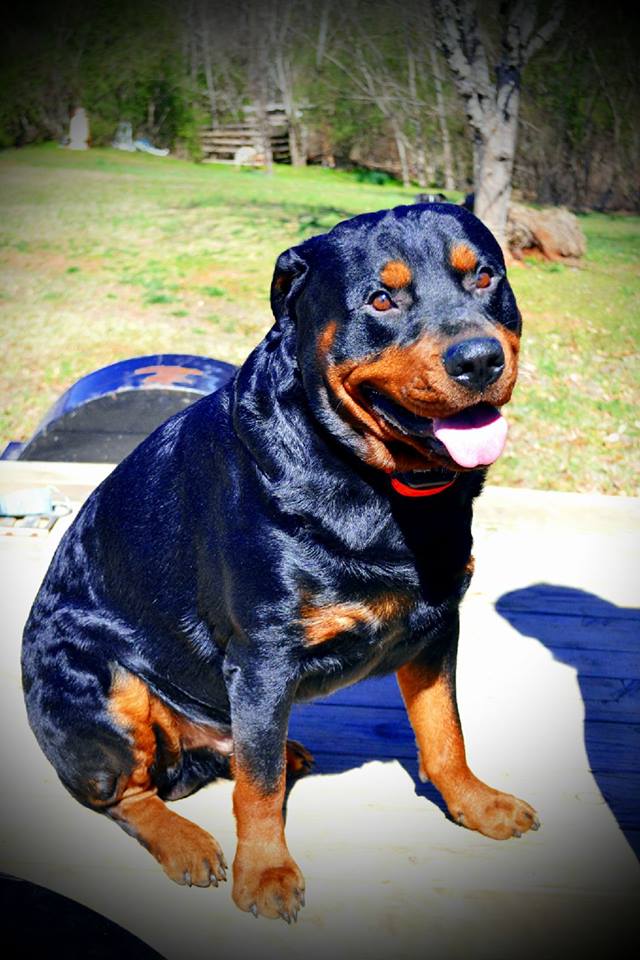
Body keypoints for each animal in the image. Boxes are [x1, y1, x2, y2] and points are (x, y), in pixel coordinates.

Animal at [22, 202, 536, 924]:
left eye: (485, 276)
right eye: (382, 299)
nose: (479, 358)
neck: (368, 480)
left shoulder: (438, 624)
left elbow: (445, 733)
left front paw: (477, 805)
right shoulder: (263, 653)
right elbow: (258, 790)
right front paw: (264, 873)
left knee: (237, 752)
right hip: (97, 681)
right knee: (128, 792)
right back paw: (185, 842)